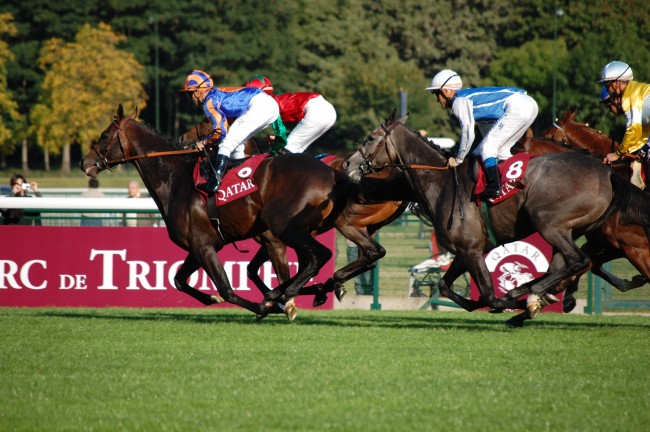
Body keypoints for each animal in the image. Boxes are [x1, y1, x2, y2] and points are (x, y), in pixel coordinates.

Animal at [79, 105, 368, 320]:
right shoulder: (200, 245)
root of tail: (334, 173)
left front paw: (266, 306)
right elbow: (179, 280)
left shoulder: (207, 246)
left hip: (286, 227)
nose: (84, 162)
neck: (175, 178)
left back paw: (285, 294)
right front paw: (213, 297)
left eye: (104, 136)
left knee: (319, 255)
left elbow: (227, 288)